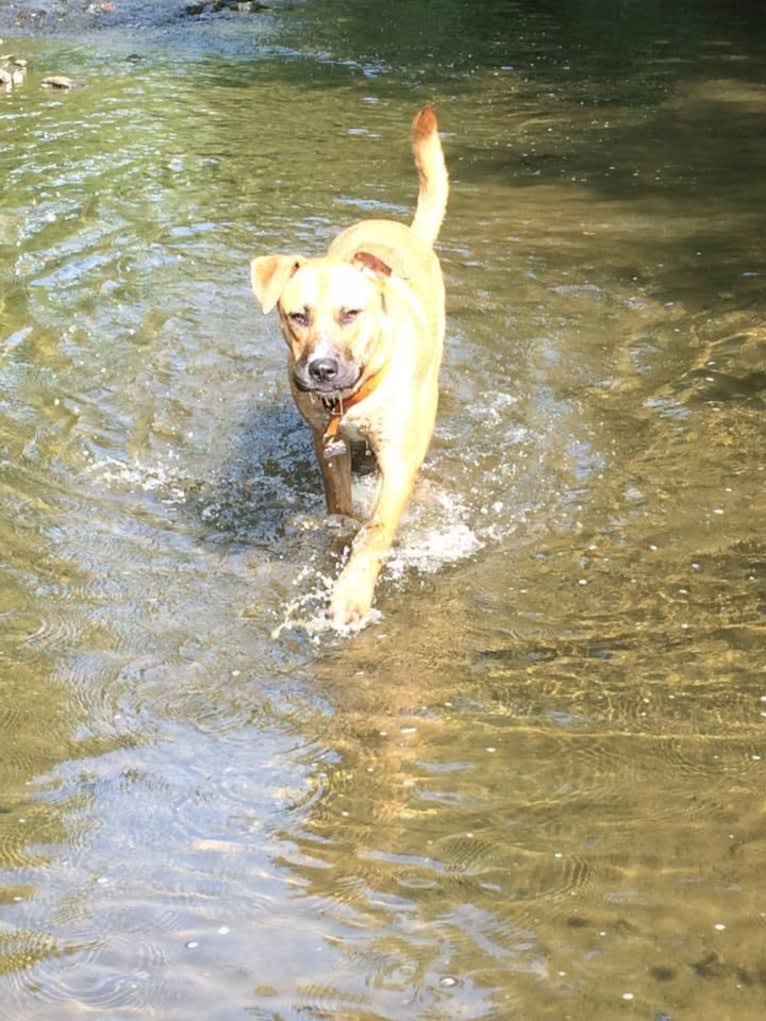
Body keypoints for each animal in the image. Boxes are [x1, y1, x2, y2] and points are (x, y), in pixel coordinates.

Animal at [252, 105, 449, 628]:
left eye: (350, 313)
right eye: (296, 316)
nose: (320, 369)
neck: (353, 401)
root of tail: (403, 230)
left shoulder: (397, 458)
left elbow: (375, 530)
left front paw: (351, 595)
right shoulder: (327, 445)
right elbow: (341, 508)